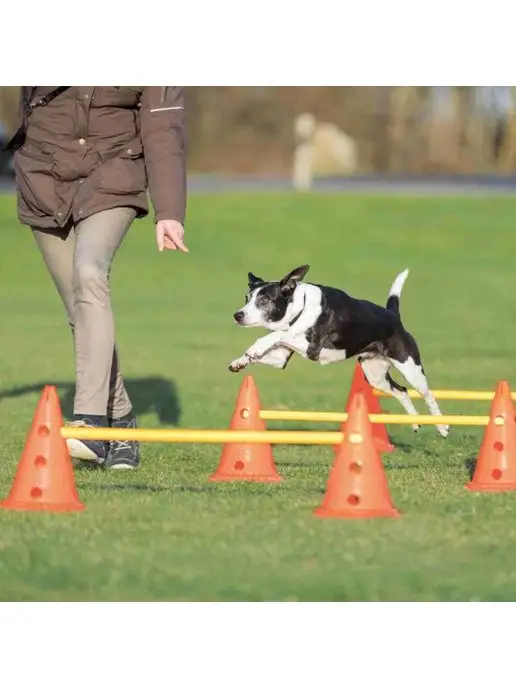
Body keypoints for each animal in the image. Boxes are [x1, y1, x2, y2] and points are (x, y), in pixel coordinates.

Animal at [228, 264, 450, 436]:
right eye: (247, 298)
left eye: (264, 300)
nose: (237, 315)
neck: (300, 307)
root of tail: (393, 315)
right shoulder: (280, 357)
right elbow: (272, 343)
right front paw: (241, 361)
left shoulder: (312, 348)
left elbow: (278, 334)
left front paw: (256, 347)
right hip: (375, 376)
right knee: (402, 391)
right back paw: (415, 422)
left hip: (411, 368)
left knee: (428, 395)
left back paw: (442, 426)